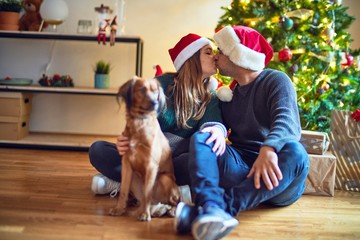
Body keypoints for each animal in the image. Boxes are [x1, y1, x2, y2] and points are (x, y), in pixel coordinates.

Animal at [107, 77, 179, 221]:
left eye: (155, 91)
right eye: (141, 90)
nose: (155, 102)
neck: (139, 122)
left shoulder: (151, 165)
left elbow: (147, 192)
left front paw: (145, 215)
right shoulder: (126, 164)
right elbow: (123, 190)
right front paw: (119, 209)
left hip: (164, 178)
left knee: (176, 202)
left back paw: (166, 210)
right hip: (135, 175)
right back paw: (155, 210)